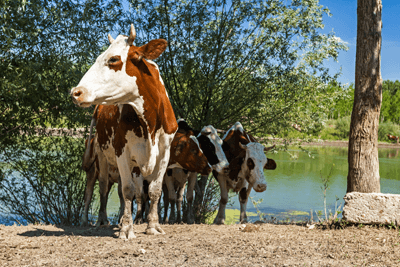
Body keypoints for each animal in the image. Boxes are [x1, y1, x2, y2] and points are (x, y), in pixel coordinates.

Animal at [70, 24, 178, 240]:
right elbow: (129, 190)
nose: (76, 92)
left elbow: (154, 191)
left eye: (113, 59)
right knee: (104, 188)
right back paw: (103, 220)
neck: (150, 122)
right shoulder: (122, 151)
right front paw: (127, 229)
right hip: (102, 156)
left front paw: (153, 225)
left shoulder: (165, 152)